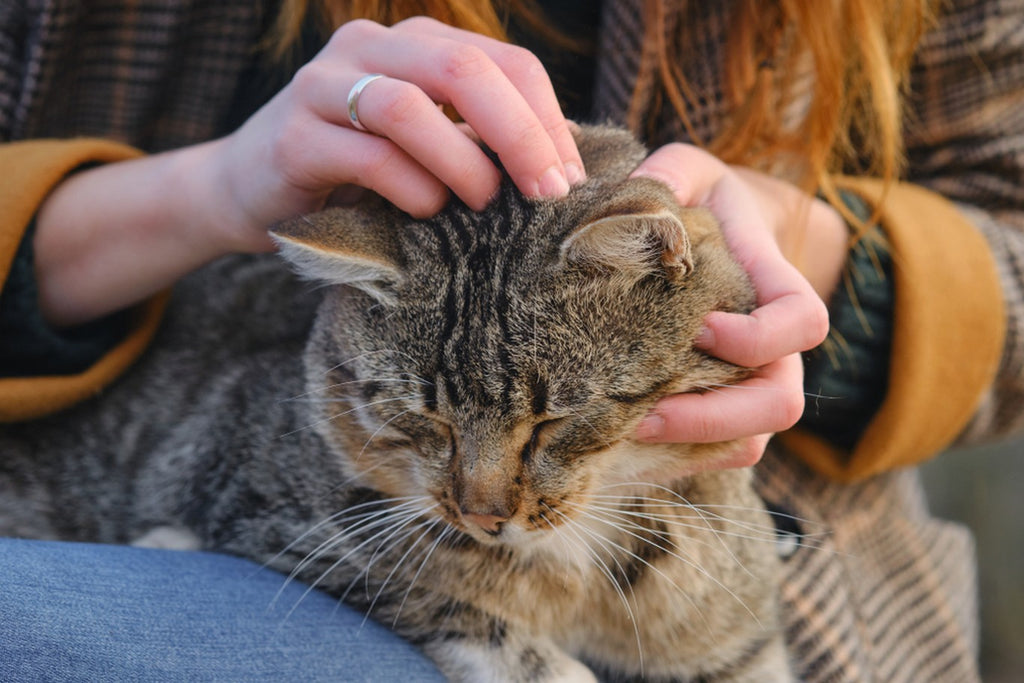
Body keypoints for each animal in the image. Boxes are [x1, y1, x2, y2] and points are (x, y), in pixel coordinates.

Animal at [0, 125, 790, 679]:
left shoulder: (740, 641)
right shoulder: (267, 507)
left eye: (551, 421)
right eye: (427, 416)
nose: (483, 516)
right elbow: (437, 598)